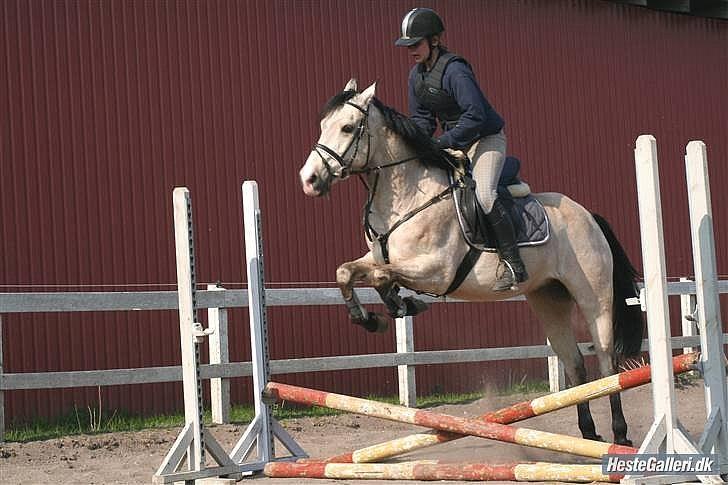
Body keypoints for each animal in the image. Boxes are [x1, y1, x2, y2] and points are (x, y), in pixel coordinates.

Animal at [298, 79, 644, 446]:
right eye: (323, 125)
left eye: (348, 127)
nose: (309, 180)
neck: (408, 195)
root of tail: (589, 215)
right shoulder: (378, 259)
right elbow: (347, 272)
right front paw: (370, 318)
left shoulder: (435, 271)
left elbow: (380, 278)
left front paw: (401, 306)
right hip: (549, 299)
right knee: (575, 364)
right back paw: (588, 435)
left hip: (594, 296)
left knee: (606, 362)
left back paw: (620, 435)